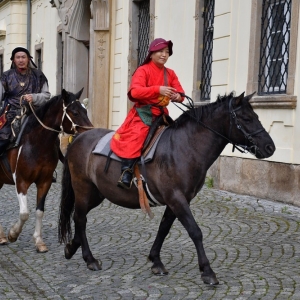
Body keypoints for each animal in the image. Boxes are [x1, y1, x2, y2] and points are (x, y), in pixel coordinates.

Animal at [0, 88, 92, 251]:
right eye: (75, 112)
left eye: (85, 111)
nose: (90, 131)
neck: (36, 144)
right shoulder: (21, 182)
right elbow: (24, 213)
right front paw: (13, 234)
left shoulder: (45, 182)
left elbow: (39, 211)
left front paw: (39, 241)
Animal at [58, 92, 274, 286]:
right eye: (246, 118)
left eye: (256, 116)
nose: (270, 147)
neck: (184, 147)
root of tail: (79, 138)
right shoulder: (176, 199)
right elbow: (195, 231)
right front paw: (207, 271)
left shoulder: (178, 200)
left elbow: (164, 228)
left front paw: (156, 260)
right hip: (83, 188)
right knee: (80, 218)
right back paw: (89, 258)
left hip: (97, 194)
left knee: (79, 217)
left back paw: (72, 247)